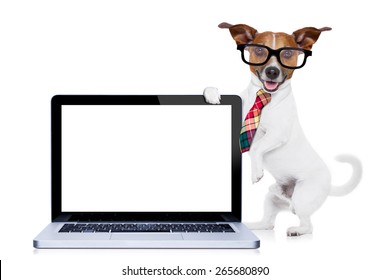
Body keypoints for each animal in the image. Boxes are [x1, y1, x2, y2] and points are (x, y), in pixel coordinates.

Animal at [204, 22, 362, 236]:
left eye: (287, 53)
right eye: (259, 50)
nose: (272, 71)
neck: (264, 97)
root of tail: (329, 185)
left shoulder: (277, 134)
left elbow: (256, 147)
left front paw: (256, 172)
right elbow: (213, 89)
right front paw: (212, 95)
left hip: (303, 196)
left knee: (308, 225)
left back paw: (297, 230)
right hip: (271, 199)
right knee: (268, 223)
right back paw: (254, 223)